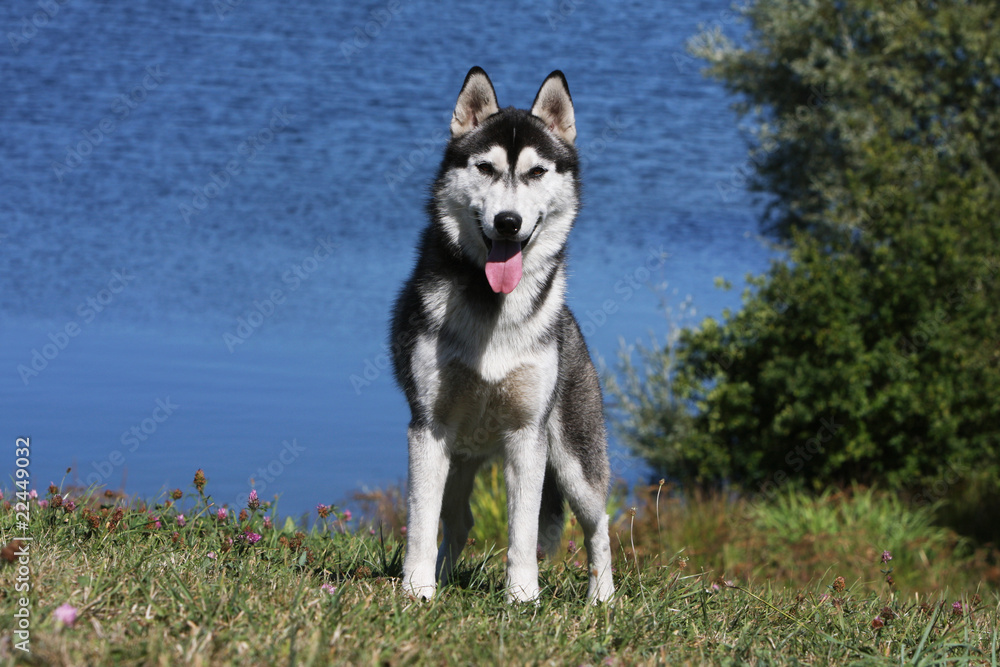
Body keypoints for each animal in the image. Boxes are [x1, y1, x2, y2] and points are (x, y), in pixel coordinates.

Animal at [392, 68, 612, 604]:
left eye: (536, 173)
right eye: (486, 167)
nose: (507, 222)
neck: (494, 310)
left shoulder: (527, 435)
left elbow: (523, 529)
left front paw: (523, 597)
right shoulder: (428, 430)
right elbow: (421, 522)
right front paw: (417, 590)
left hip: (575, 462)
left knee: (599, 525)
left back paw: (603, 599)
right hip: (459, 458)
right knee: (458, 521)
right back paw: (444, 575)